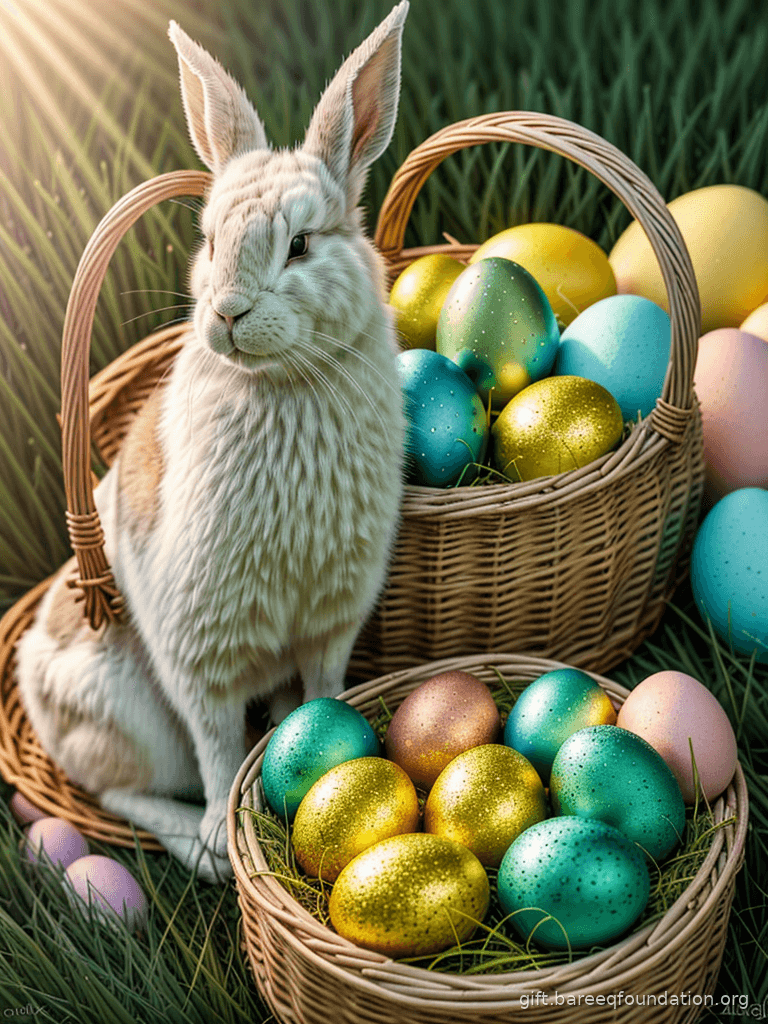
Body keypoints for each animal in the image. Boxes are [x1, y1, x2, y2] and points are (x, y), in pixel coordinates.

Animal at [15, 1, 409, 883]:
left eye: (301, 244)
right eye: (207, 240)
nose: (227, 312)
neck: (282, 383)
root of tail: (26, 687)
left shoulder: (330, 622)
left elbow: (317, 698)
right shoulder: (201, 655)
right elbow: (221, 747)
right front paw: (231, 842)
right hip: (131, 713)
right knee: (116, 790)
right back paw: (198, 847)